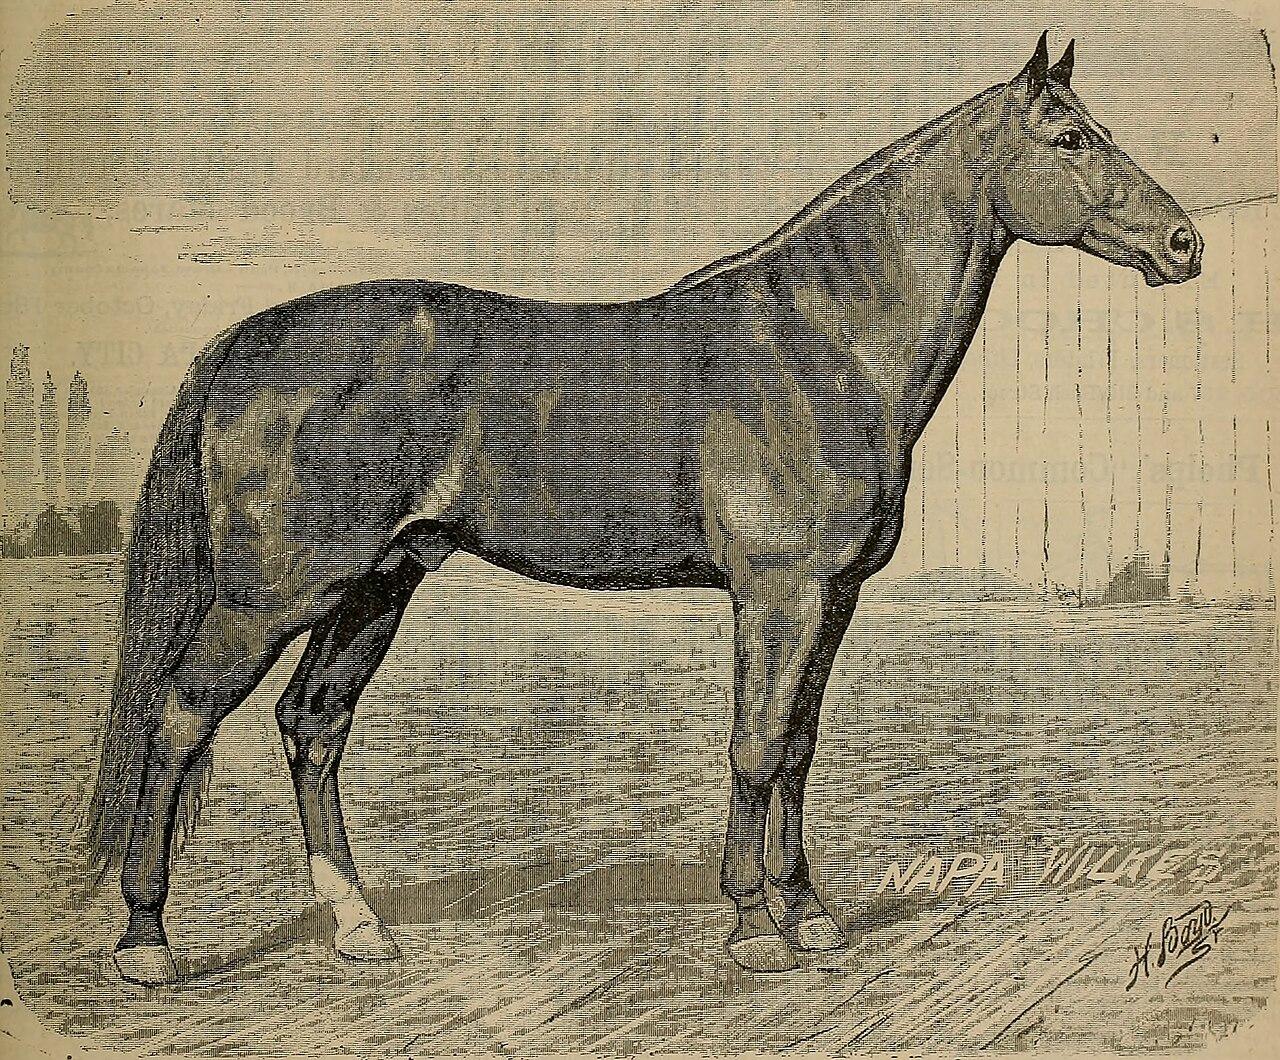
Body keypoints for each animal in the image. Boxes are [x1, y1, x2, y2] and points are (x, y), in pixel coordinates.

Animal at [85, 33, 1202, 985]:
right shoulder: (776, 594)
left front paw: (808, 915)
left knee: (312, 724)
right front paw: (752, 928)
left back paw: (359, 928)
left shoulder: (833, 598)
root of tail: (245, 338)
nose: (1184, 243)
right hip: (276, 593)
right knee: (180, 714)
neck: (823, 345)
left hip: (378, 583)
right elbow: (755, 745)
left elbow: (799, 747)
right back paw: (147, 940)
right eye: (1071, 139)